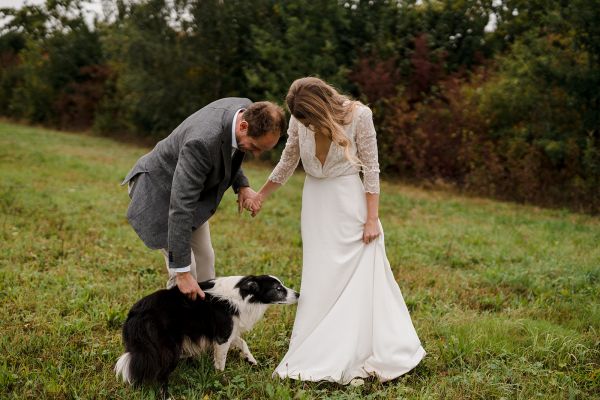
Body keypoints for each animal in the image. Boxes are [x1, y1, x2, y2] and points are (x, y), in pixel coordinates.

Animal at [114, 276, 298, 396]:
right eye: (278, 289)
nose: (298, 294)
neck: (242, 295)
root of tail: (135, 313)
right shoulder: (223, 335)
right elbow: (221, 362)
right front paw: (222, 379)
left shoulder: (229, 330)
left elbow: (242, 342)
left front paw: (251, 360)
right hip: (168, 349)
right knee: (160, 374)